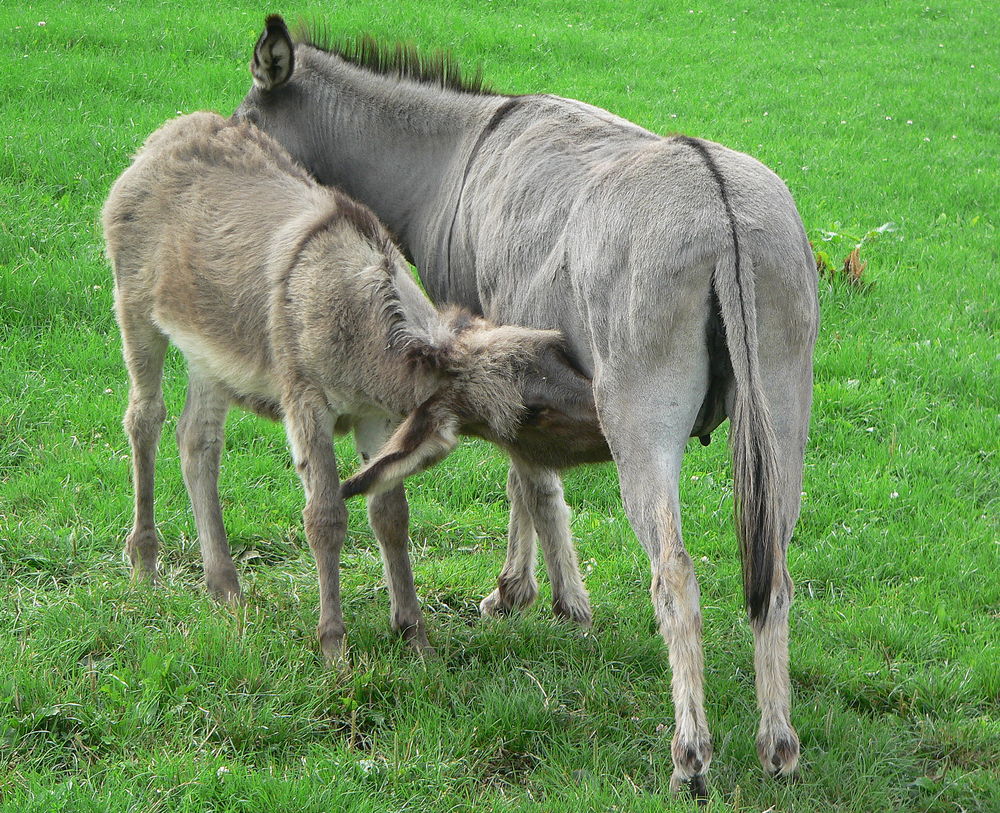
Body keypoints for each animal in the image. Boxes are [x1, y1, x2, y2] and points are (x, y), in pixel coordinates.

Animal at [106, 112, 572, 660]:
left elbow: (391, 514)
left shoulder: (378, 419)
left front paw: (415, 636)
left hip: (209, 351)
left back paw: (225, 588)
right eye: (528, 416)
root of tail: (169, 132)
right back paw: (144, 564)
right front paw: (334, 647)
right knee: (144, 419)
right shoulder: (306, 403)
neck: (360, 326)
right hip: (135, 311)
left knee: (197, 442)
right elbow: (325, 519)